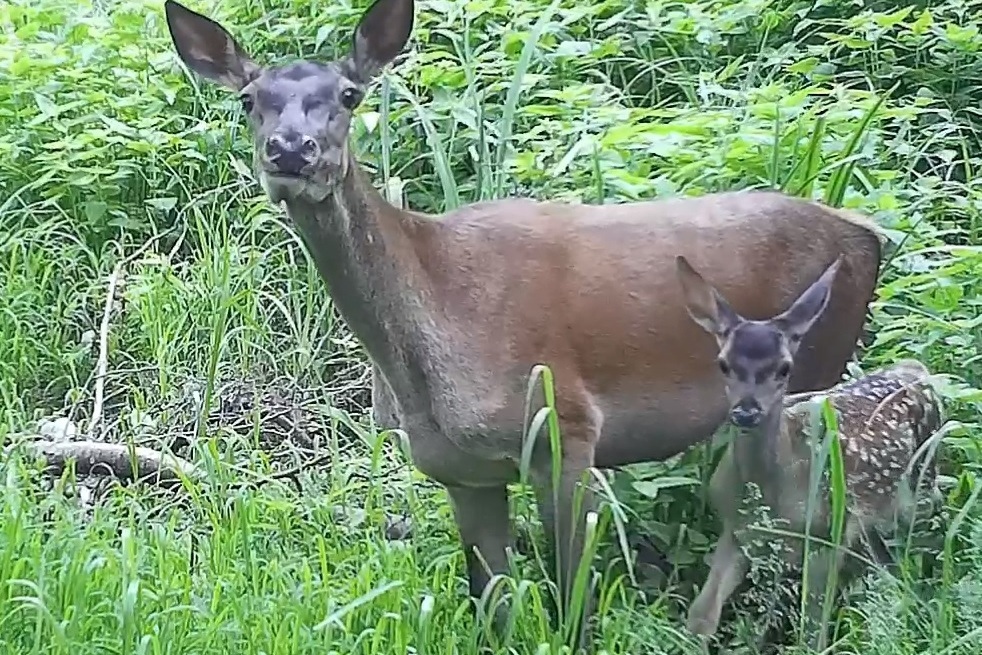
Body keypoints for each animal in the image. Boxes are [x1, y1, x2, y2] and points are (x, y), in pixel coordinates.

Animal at [161, 0, 884, 640]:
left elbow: (573, 607)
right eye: (248, 99)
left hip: (814, 379)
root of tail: (870, 236)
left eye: (348, 94)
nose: (291, 150)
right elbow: (493, 606)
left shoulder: (567, 427)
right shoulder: (461, 470)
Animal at [676, 255, 944, 644]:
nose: (746, 411)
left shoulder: (826, 535)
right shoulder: (736, 530)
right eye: (723, 364)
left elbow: (813, 625)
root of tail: (915, 369)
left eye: (784, 368)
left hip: (921, 486)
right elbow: (702, 616)